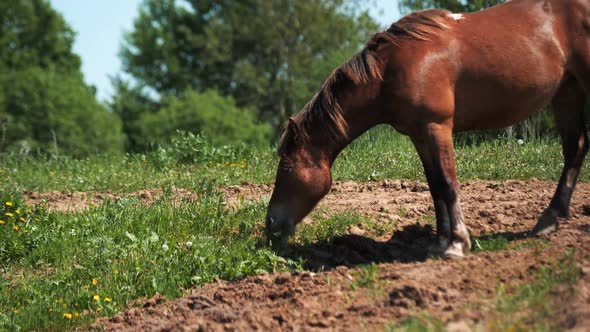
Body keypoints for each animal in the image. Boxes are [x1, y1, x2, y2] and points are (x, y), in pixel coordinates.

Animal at [264, 0, 590, 258]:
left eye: (286, 169)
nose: (270, 226)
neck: (389, 71)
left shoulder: (437, 128)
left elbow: (448, 184)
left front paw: (457, 243)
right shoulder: (419, 135)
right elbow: (434, 187)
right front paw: (440, 241)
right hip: (567, 92)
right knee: (575, 148)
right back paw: (549, 218)